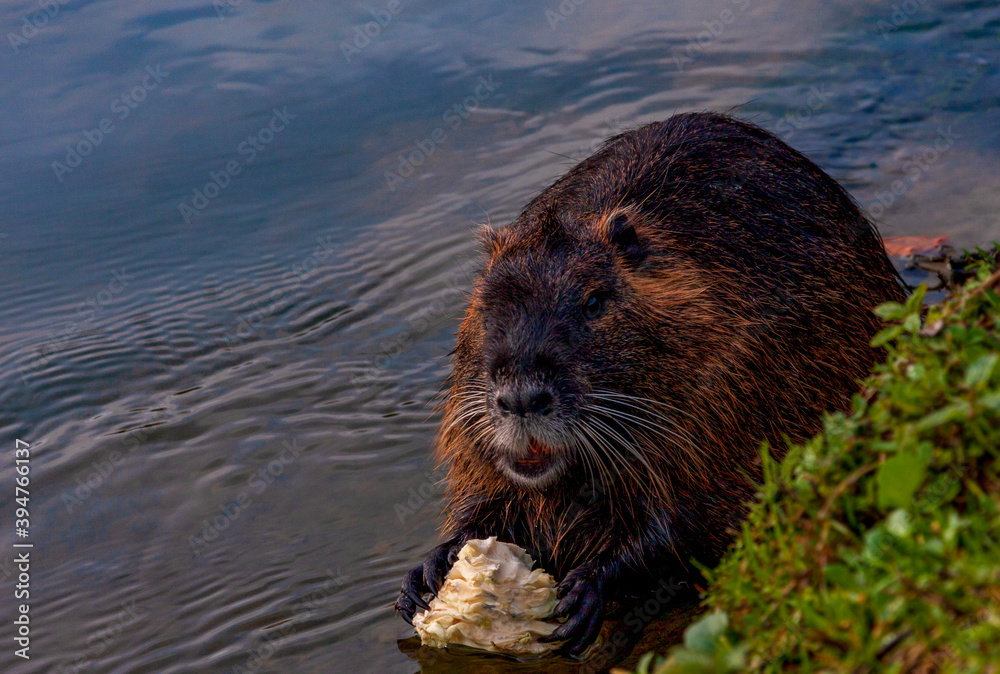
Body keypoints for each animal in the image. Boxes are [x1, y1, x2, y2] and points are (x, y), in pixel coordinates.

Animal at [395, 111, 905, 656]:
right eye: (490, 300)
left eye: (594, 301)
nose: (522, 398)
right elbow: (485, 494)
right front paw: (426, 572)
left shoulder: (728, 393)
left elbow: (686, 520)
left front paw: (584, 592)